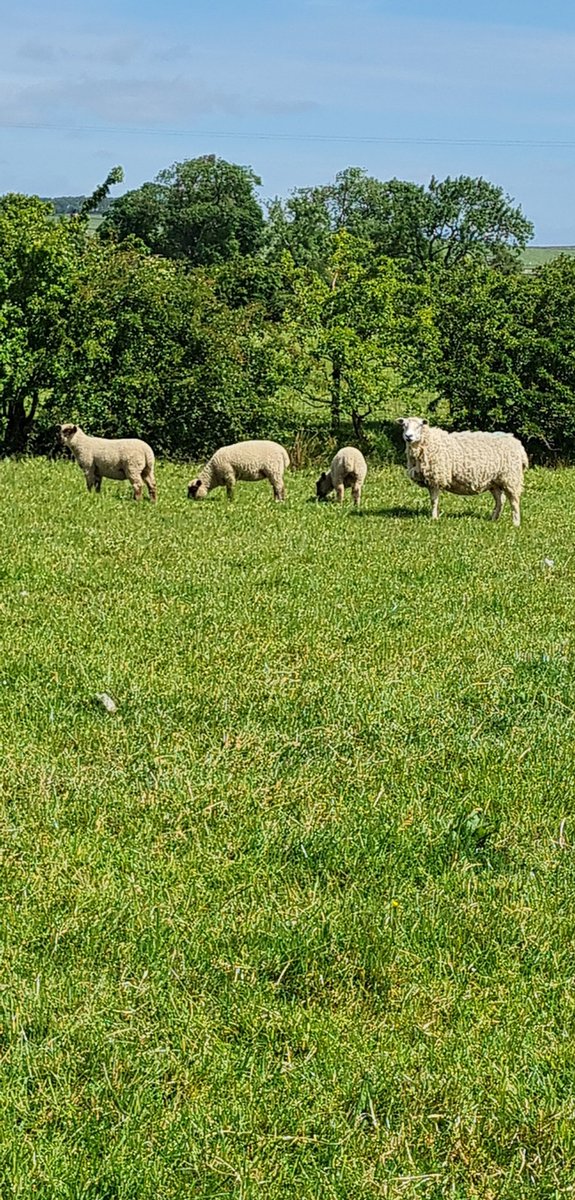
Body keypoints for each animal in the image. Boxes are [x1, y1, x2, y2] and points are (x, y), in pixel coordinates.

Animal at [397, 417, 528, 525]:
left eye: (419, 426)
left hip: (511, 477)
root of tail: (518, 445)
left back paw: (516, 523)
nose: (408, 436)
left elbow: (434, 501)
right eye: (404, 425)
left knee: (514, 501)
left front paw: (434, 518)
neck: (428, 442)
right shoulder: (430, 480)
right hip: (494, 481)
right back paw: (494, 519)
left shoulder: (436, 478)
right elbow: (433, 501)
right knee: (500, 501)